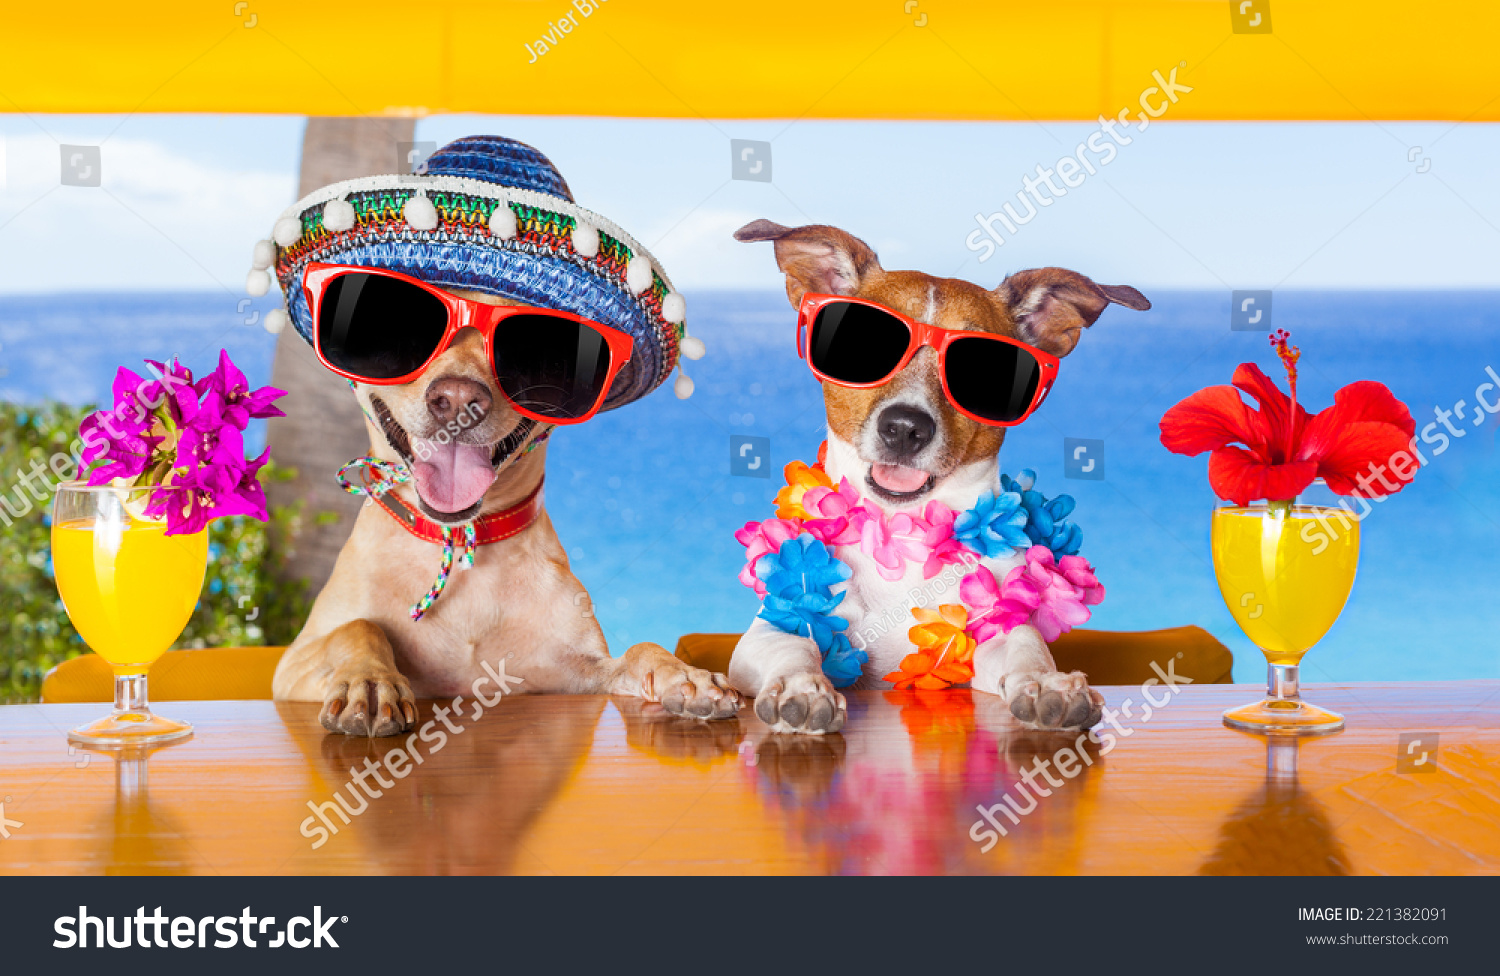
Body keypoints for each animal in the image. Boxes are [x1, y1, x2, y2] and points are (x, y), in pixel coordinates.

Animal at [273, 286, 741, 737]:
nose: (458, 398)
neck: (459, 540)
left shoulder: (581, 674)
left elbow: (642, 648)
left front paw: (685, 674)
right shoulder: (290, 667)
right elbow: (358, 627)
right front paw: (367, 681)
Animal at [726, 221, 1146, 731]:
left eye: (986, 368)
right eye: (862, 341)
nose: (905, 427)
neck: (901, 535)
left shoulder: (995, 639)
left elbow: (1025, 646)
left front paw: (1047, 683)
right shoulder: (763, 636)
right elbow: (792, 644)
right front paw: (802, 686)